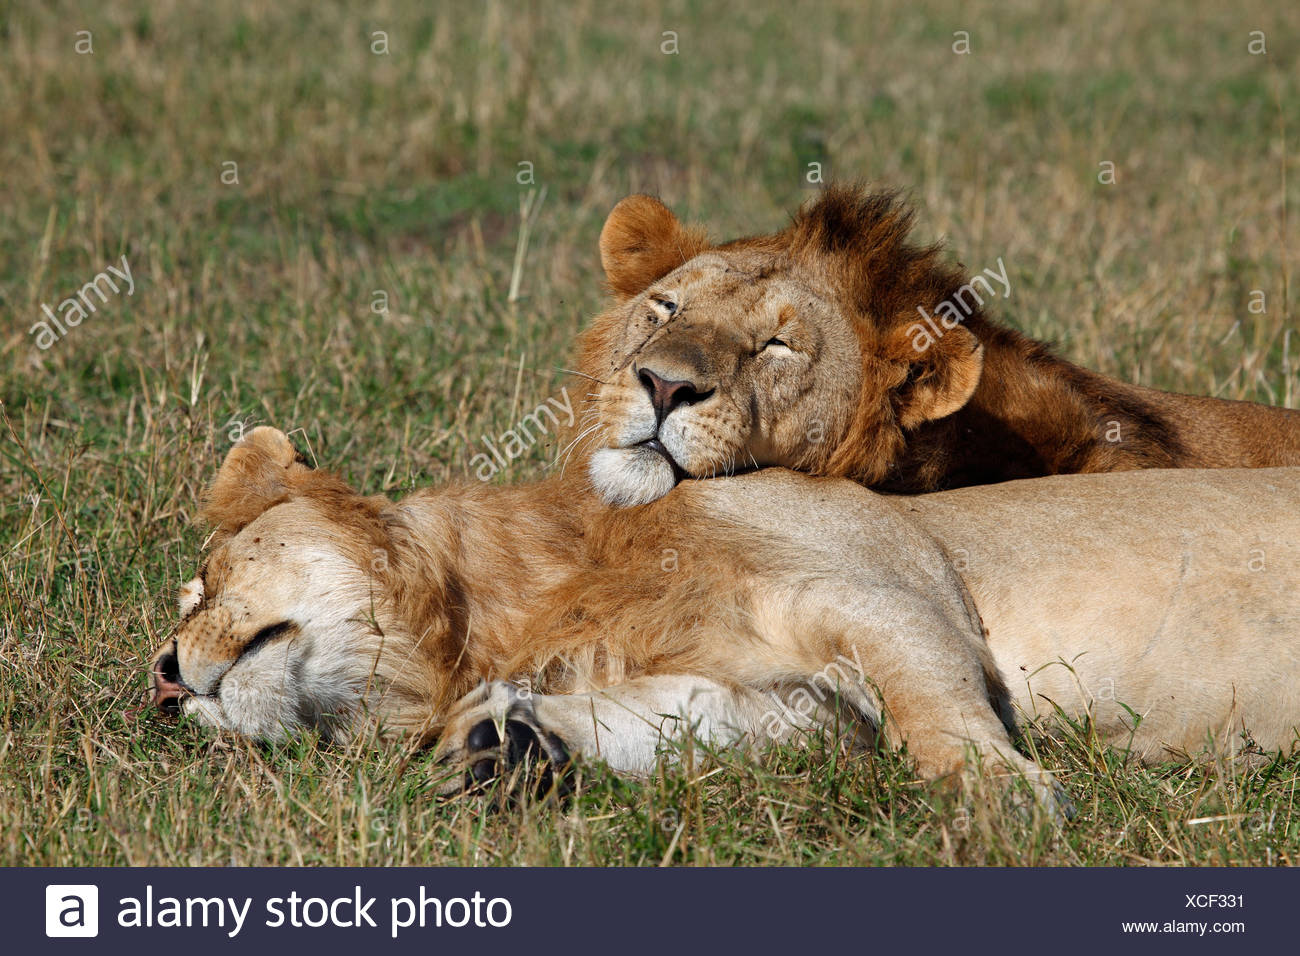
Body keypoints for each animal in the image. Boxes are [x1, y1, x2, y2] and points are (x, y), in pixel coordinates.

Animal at [147, 426, 1300, 806]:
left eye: (202, 580)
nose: (161, 678)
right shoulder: (804, 712)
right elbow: (681, 722)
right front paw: (502, 748)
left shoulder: (888, 590)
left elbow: (932, 698)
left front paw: (1000, 800)